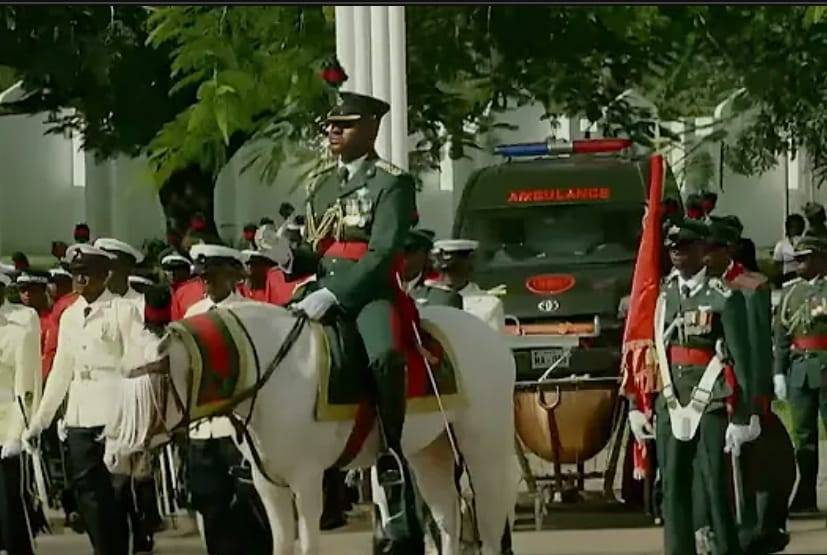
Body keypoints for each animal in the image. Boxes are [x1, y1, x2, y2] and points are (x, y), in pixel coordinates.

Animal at [103, 304, 516, 555]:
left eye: (147, 391)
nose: (112, 457)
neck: (269, 374)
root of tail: (493, 337)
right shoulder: (268, 482)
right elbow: (281, 544)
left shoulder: (307, 478)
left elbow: (307, 545)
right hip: (430, 450)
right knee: (448, 515)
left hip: (484, 449)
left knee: (489, 521)